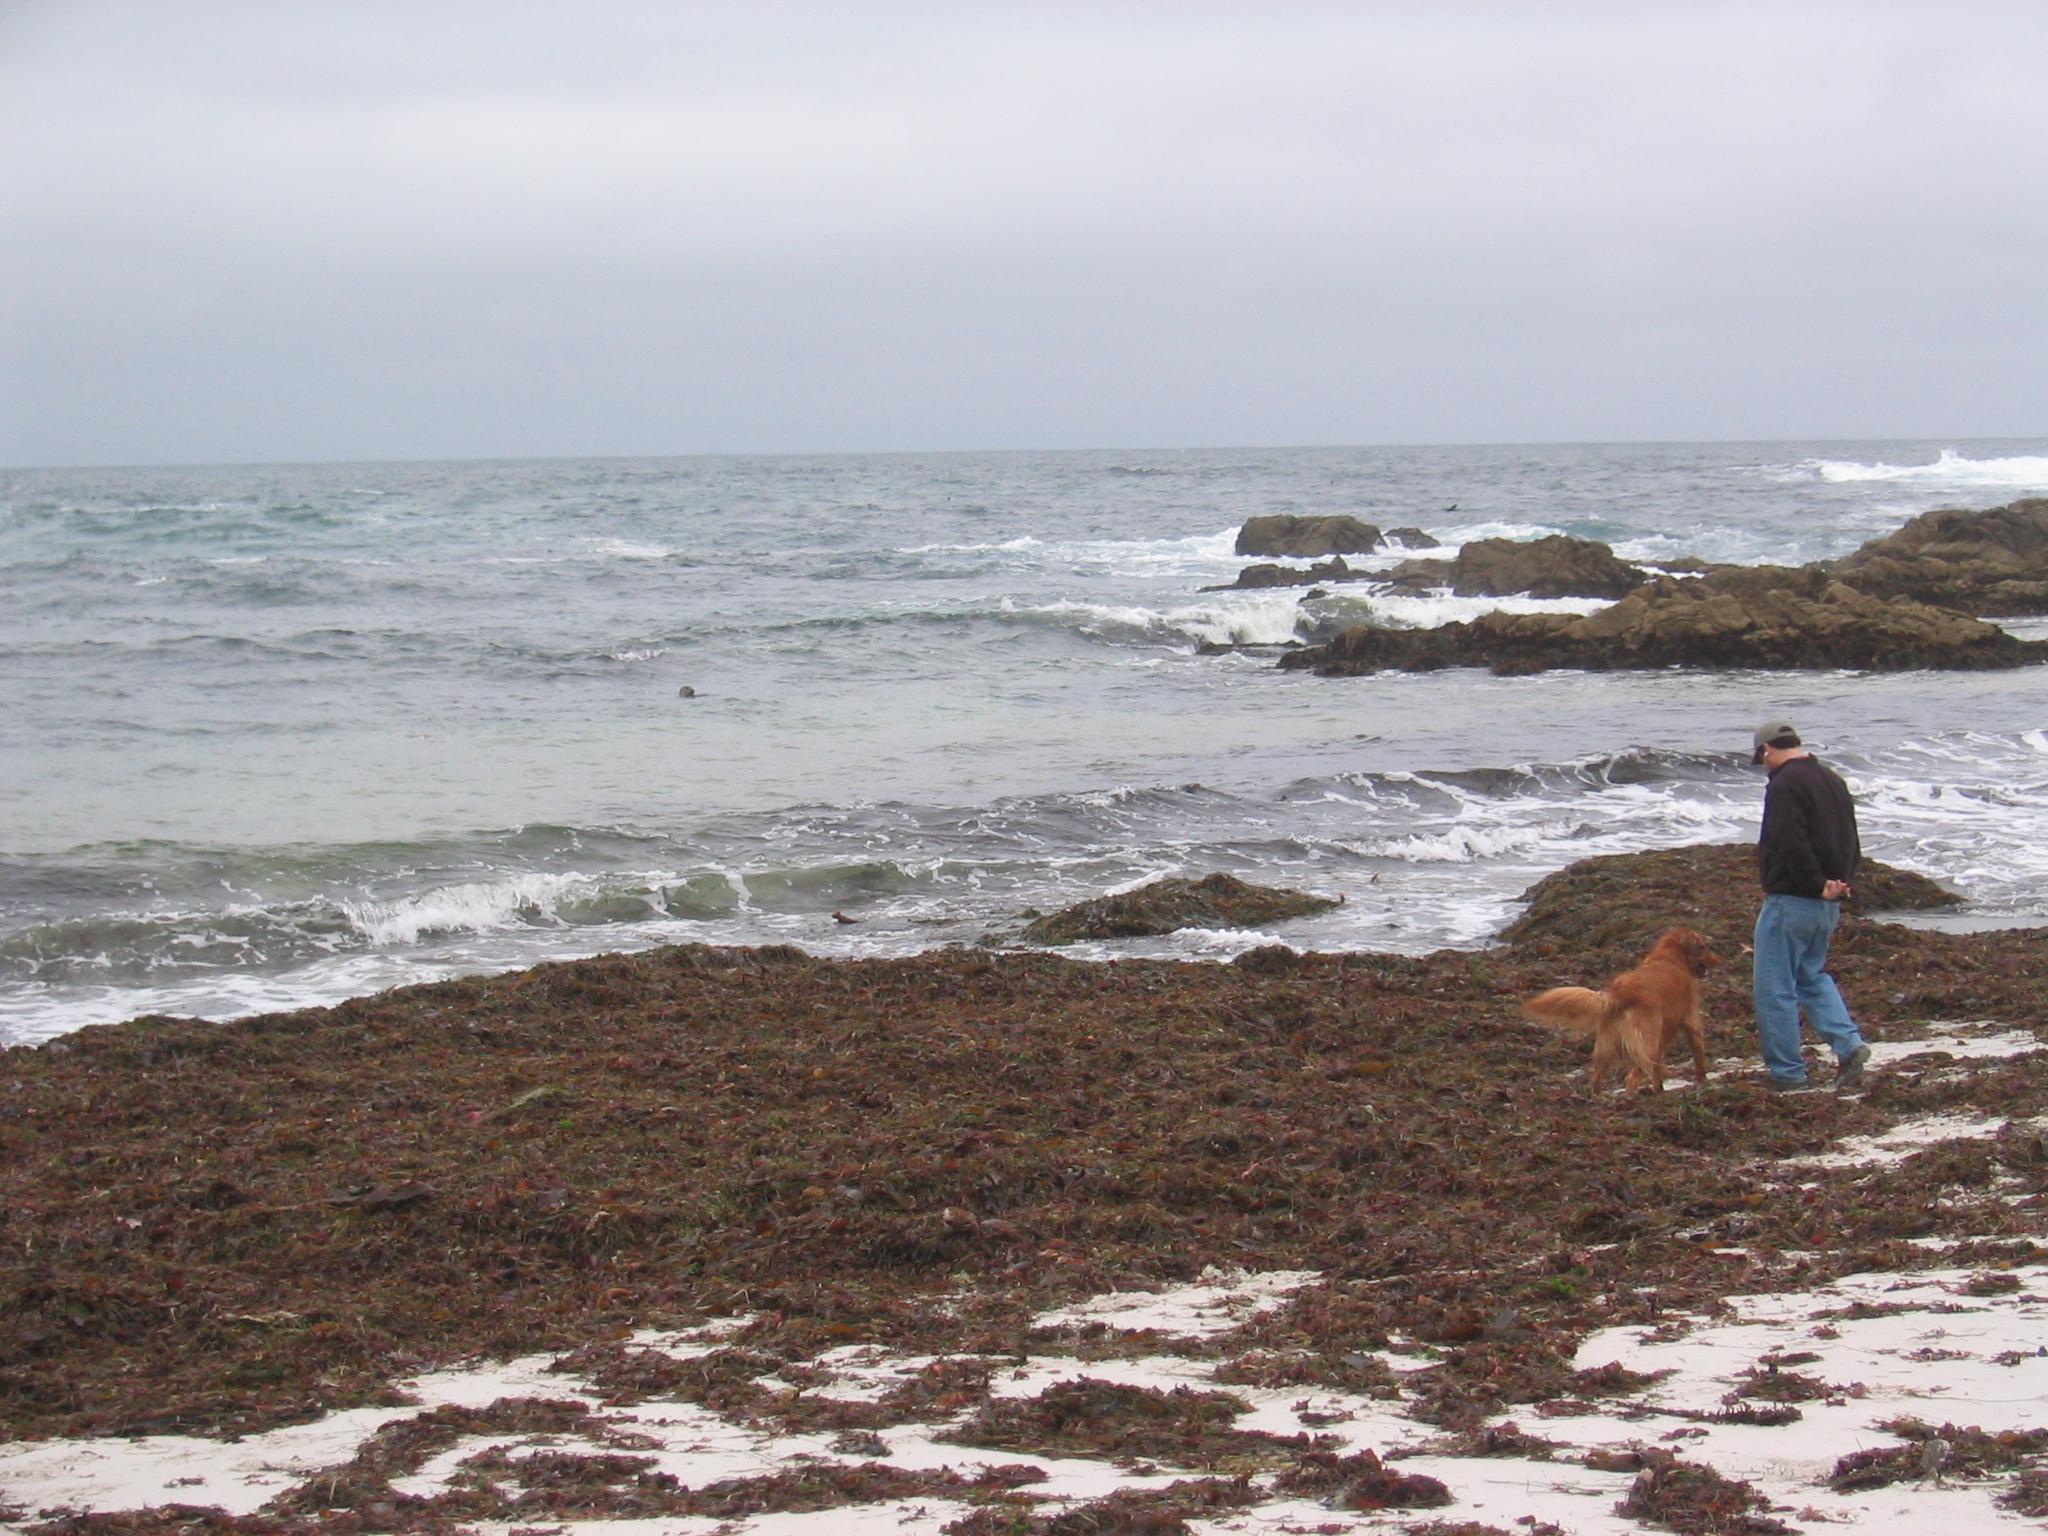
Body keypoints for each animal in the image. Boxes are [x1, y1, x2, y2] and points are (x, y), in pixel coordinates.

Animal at [1522, 927, 1722, 1094]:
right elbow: (1699, 1057)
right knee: (1631, 1078)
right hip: (1645, 1044)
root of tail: (1621, 991)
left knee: (1597, 1076)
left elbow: (1657, 1071)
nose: (1718, 960)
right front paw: (1701, 1082)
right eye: (1703, 946)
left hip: (1608, 1046)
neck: (1669, 958)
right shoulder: (1691, 1021)